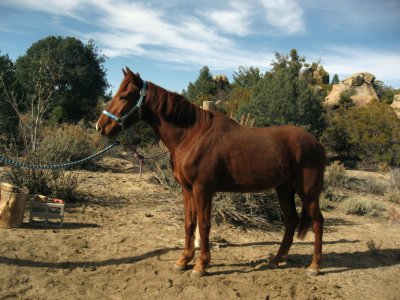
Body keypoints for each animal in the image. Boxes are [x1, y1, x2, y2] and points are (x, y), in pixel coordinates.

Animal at [97, 67, 324, 278]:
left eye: (124, 96)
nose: (100, 126)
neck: (192, 136)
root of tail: (317, 143)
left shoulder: (203, 189)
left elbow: (204, 225)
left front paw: (201, 265)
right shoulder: (187, 190)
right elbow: (190, 223)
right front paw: (183, 261)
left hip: (308, 192)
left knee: (317, 222)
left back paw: (314, 266)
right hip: (284, 189)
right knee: (291, 221)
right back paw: (277, 259)